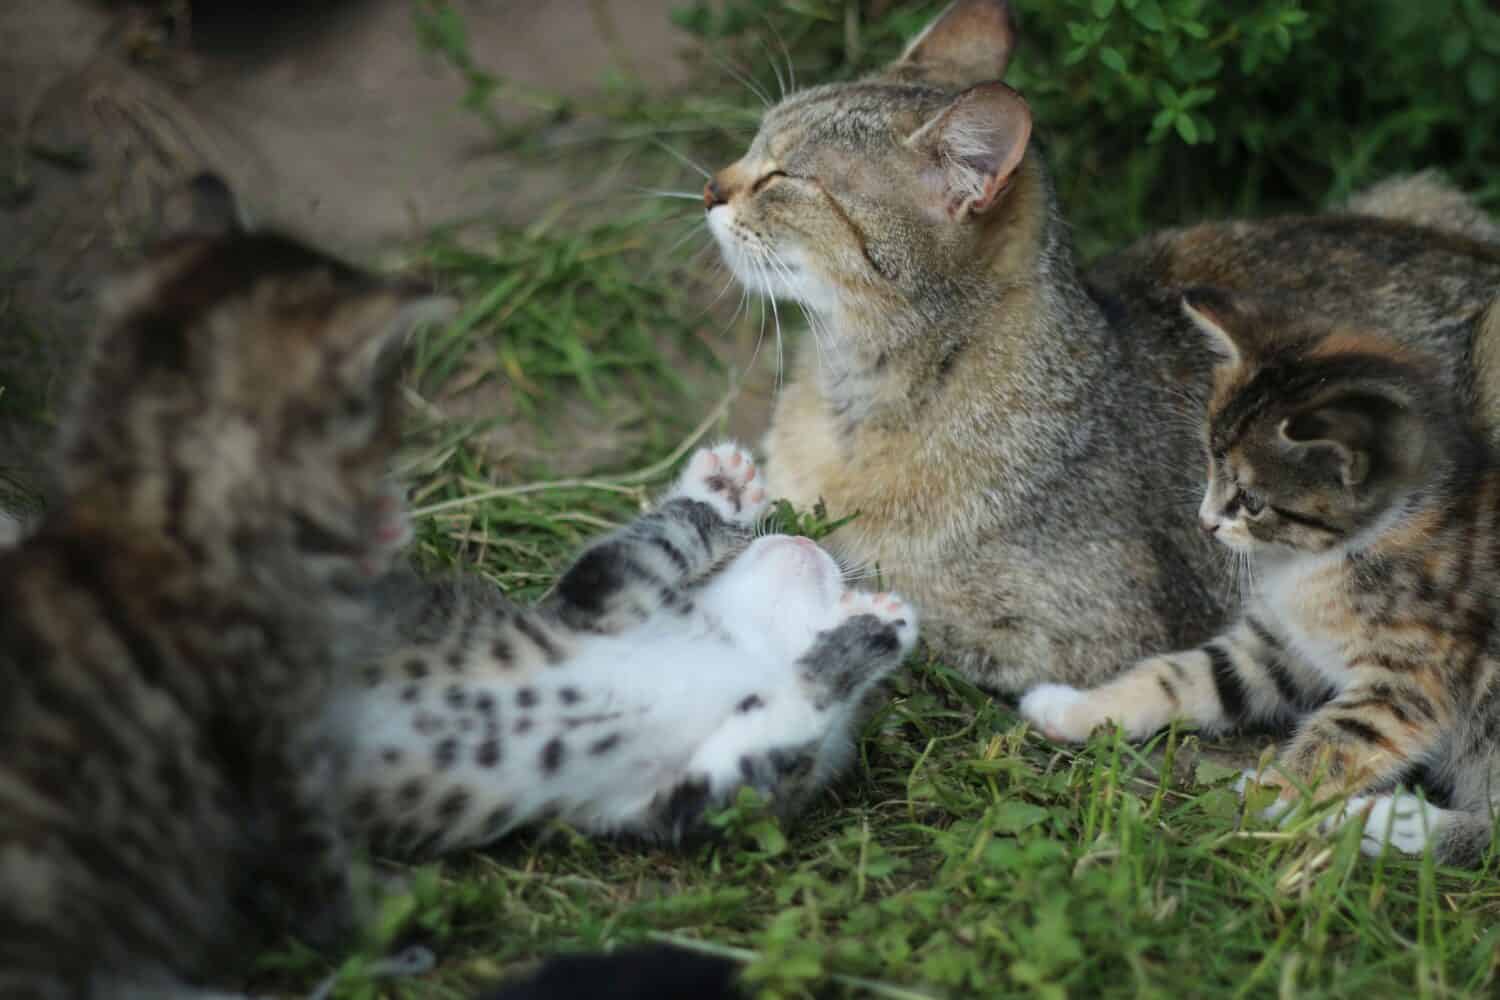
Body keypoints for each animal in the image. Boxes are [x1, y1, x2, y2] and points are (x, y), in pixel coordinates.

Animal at [0, 183, 441, 995]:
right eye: (385, 403)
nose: (403, 426)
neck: (150, 516)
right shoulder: (281, 757)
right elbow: (325, 874)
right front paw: (382, 923)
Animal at [340, 440, 918, 857]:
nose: (806, 541)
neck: (744, 647)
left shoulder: (694, 800)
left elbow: (789, 714)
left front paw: (870, 631)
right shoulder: (602, 590)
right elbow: (665, 537)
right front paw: (721, 491)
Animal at [702, 0, 1500, 695]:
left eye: (786, 177)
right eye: (756, 141)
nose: (711, 187)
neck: (858, 394)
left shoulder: (1083, 636)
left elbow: (883, 594)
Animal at [1026, 284, 1500, 863]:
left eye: (1251, 501)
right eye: (1209, 459)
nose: (1205, 522)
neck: (1318, 559)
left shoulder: (1412, 678)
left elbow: (1339, 740)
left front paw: (1268, 794)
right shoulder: (1281, 647)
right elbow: (1190, 674)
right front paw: (1077, 708)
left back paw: (1388, 821)